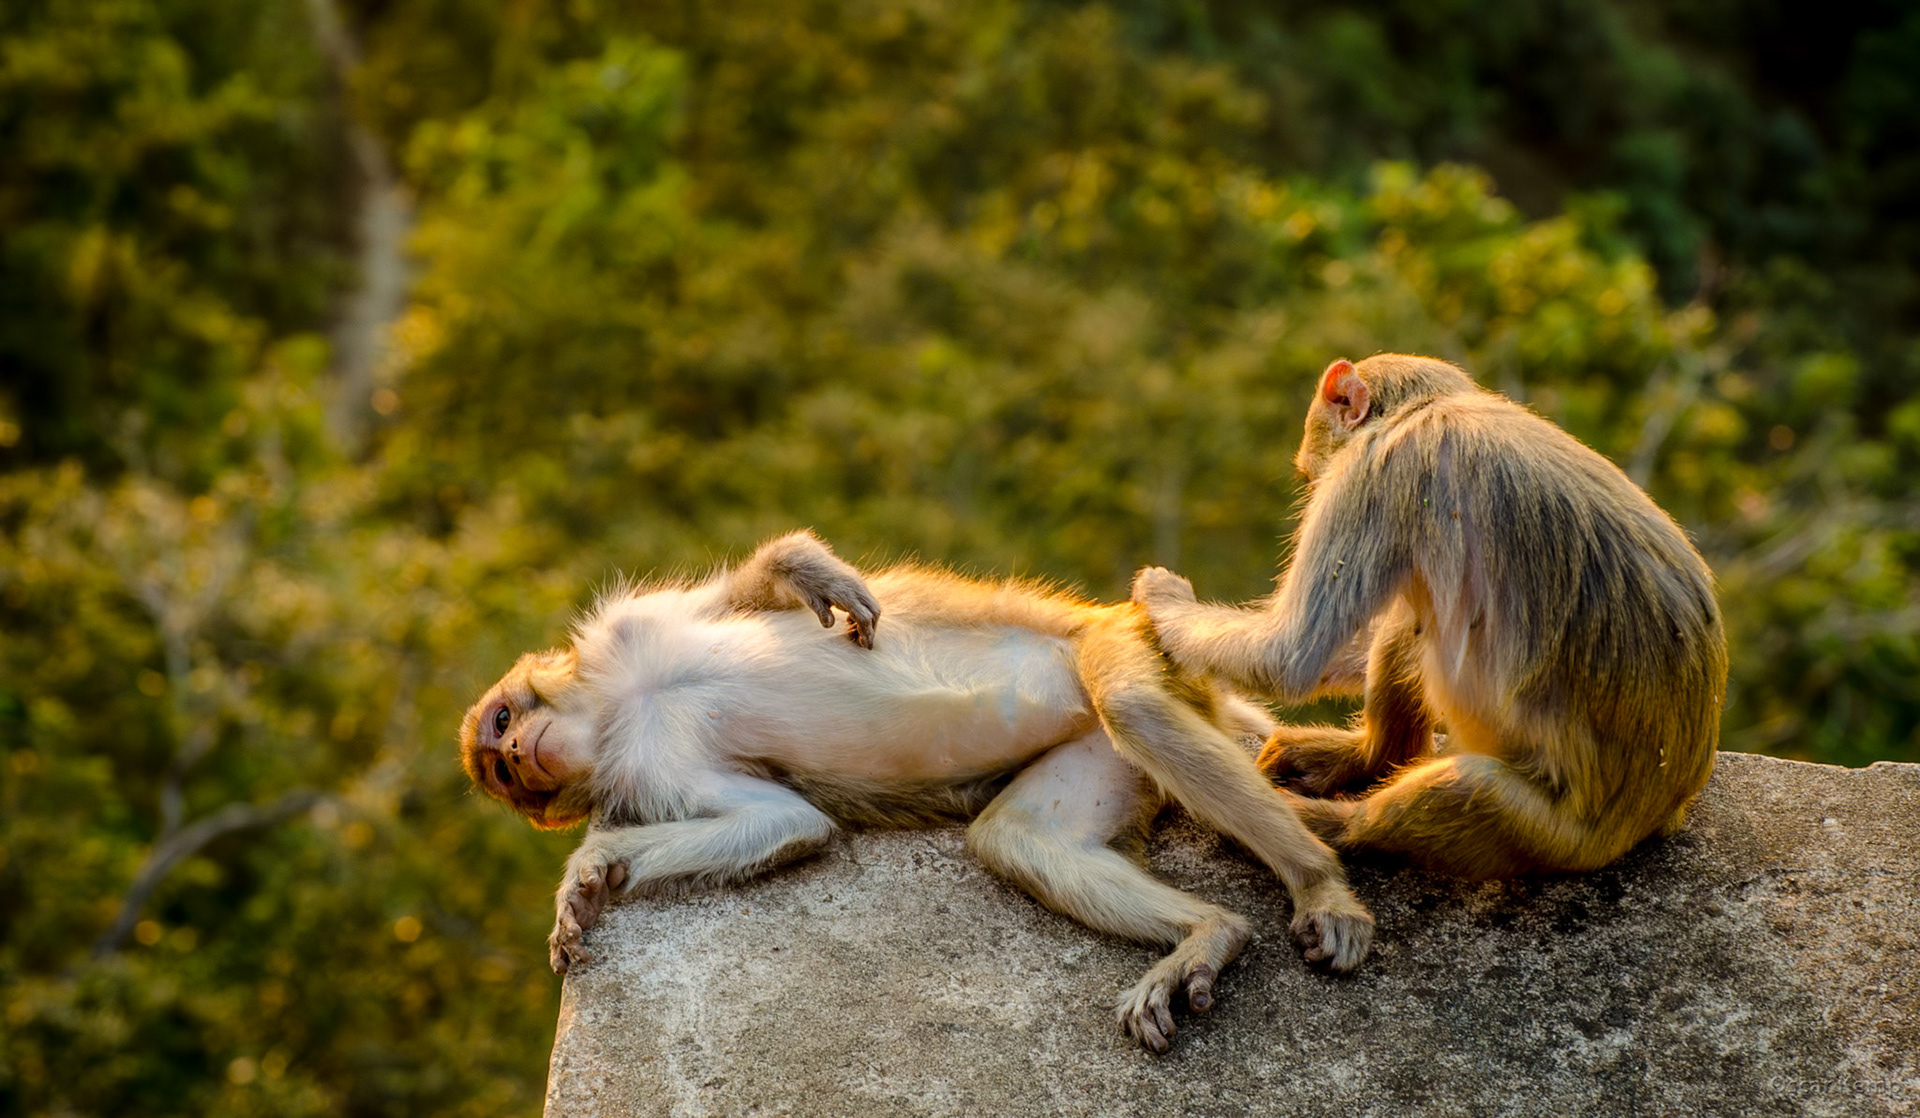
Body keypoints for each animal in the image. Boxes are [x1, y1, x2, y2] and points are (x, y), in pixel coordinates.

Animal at [460, 530, 1374, 1053]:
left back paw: (1319, 886)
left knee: (1133, 704)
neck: (623, 707)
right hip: (1097, 749)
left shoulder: (628, 633)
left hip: (1120, 639)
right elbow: (783, 822)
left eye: (503, 720)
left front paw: (803, 567)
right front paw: (591, 873)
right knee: (1018, 836)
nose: (517, 750)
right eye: (501, 770)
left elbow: (742, 592)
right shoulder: (651, 775)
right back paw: (1211, 933)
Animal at [1132, 353, 1727, 880]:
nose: (1313, 479)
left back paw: (1333, 826)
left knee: (1474, 782)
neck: (1427, 407)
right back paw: (1373, 758)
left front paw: (1162, 600)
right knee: (1410, 626)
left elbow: (1292, 653)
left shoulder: (1374, 478)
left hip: (1559, 834)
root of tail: (1659, 810)